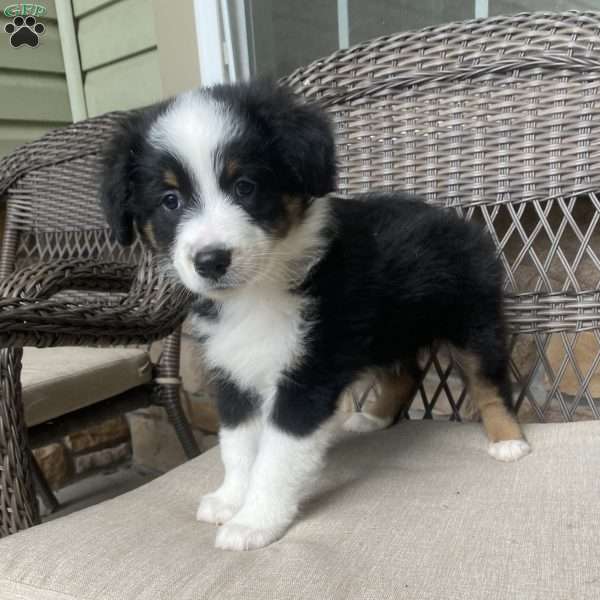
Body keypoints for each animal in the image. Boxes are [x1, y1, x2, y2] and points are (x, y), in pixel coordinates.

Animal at [101, 82, 532, 552]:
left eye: (246, 186)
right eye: (170, 201)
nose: (211, 260)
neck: (259, 291)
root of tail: (456, 218)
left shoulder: (309, 373)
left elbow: (276, 456)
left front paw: (254, 521)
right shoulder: (233, 369)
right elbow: (237, 444)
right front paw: (230, 499)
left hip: (472, 318)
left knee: (488, 380)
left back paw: (509, 441)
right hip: (386, 330)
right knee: (406, 373)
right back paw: (374, 418)